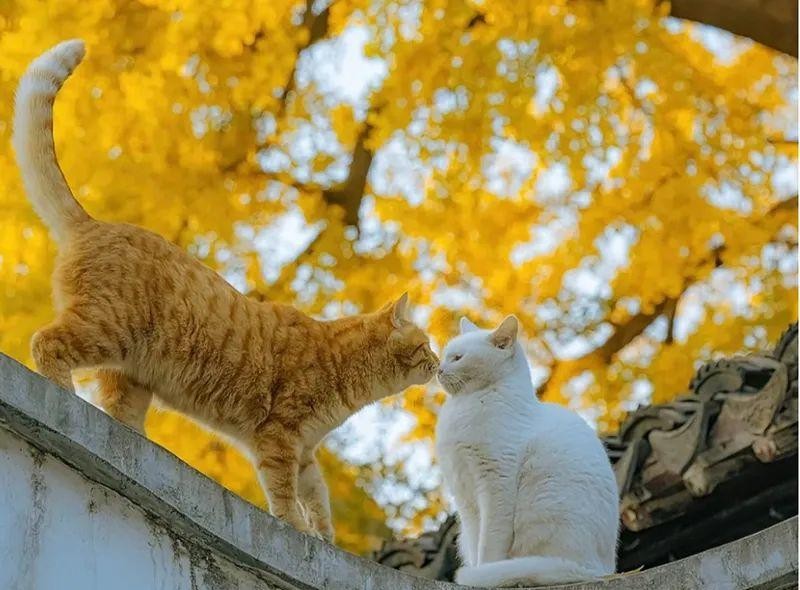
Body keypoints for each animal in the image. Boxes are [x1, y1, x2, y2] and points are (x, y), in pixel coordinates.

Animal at [12, 39, 438, 544]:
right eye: (426, 345)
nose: (439, 363)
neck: (346, 372)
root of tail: (92, 223)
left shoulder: (306, 452)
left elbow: (318, 498)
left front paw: (325, 538)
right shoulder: (280, 437)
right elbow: (284, 495)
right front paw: (297, 528)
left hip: (131, 378)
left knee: (118, 413)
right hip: (105, 327)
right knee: (47, 343)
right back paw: (63, 396)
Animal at [438, 316, 620, 588]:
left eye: (457, 358)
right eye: (444, 356)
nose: (437, 369)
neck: (467, 404)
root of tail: (598, 569)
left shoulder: (496, 483)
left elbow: (489, 544)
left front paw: (483, 574)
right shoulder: (465, 499)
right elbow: (474, 540)